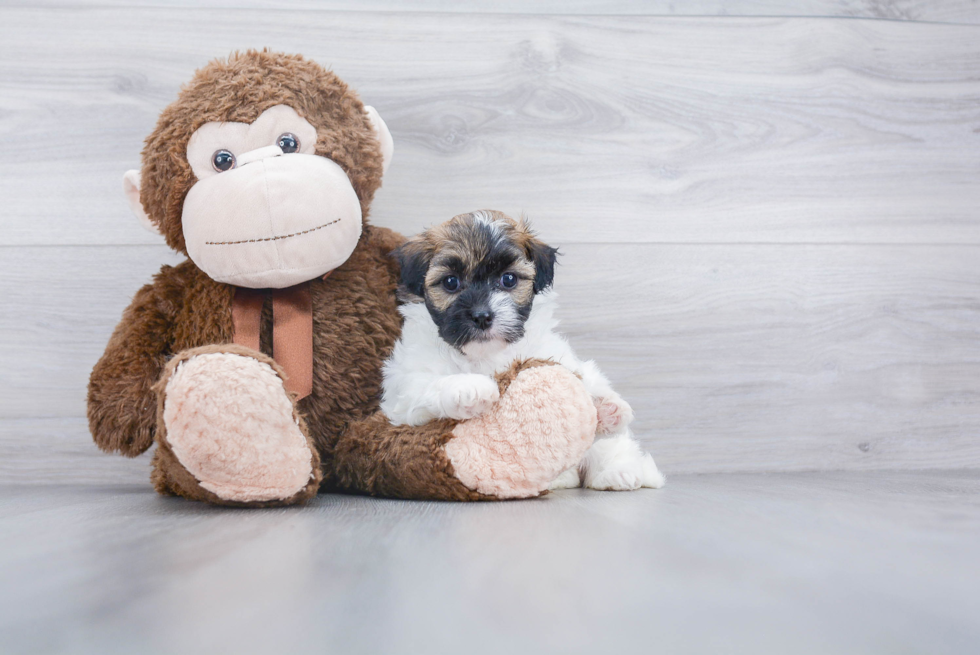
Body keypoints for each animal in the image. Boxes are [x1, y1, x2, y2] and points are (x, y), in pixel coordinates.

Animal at [378, 210, 664, 492]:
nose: (481, 316)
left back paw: (616, 471)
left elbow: (585, 380)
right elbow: (426, 384)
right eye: (450, 282)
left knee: (611, 446)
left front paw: (605, 408)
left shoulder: (554, 354)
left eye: (508, 279)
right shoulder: (402, 389)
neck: (485, 355)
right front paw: (468, 387)